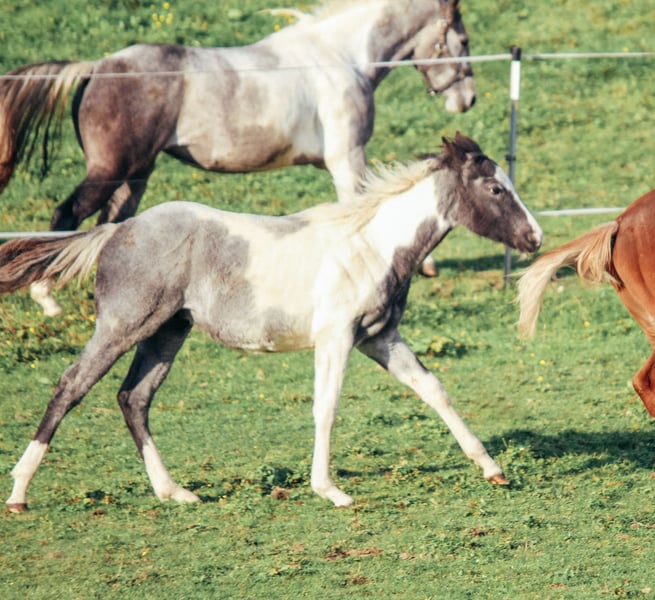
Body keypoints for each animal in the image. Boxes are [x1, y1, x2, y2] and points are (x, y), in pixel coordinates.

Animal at [0, 0, 476, 315]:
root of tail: (97, 67)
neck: (341, 59)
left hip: (136, 174)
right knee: (66, 214)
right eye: (463, 38)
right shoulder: (347, 157)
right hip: (109, 171)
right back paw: (45, 296)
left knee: (111, 222)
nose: (468, 99)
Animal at [0, 133, 543, 512]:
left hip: (168, 330)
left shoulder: (380, 337)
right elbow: (326, 408)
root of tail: (118, 229)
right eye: (496, 188)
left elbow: (433, 390)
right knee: (71, 386)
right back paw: (20, 493)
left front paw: (492, 469)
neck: (370, 247)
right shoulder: (336, 338)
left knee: (133, 398)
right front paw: (330, 490)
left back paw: (174, 491)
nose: (535, 237)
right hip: (122, 324)